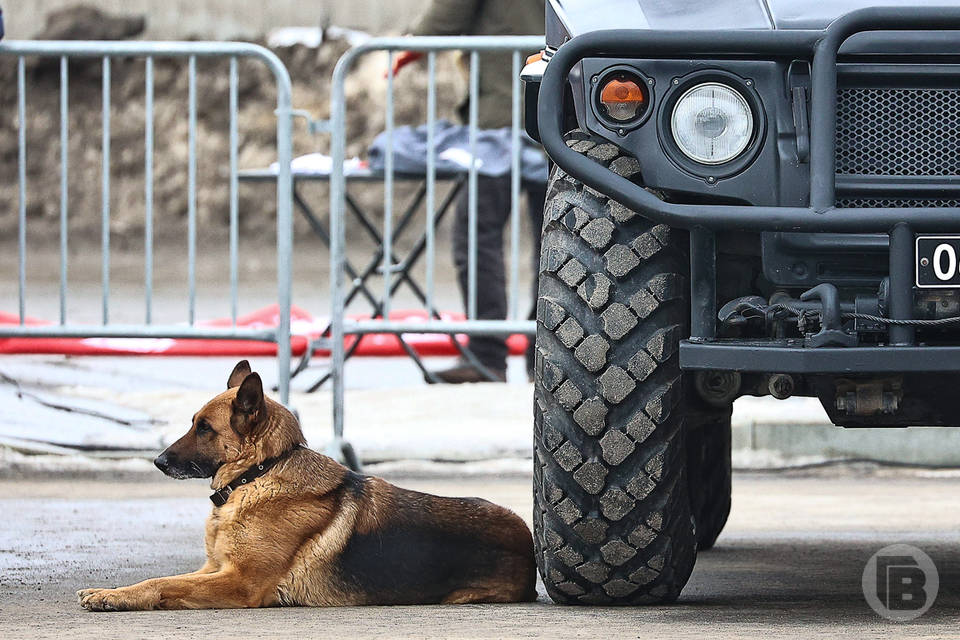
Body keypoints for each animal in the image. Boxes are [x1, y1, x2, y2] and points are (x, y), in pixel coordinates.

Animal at [78, 360, 536, 608]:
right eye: (193, 423)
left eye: (204, 428)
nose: (158, 461)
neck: (259, 474)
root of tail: (527, 539)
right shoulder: (213, 568)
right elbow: (162, 580)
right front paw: (110, 591)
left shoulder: (240, 582)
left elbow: (160, 584)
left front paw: (111, 598)